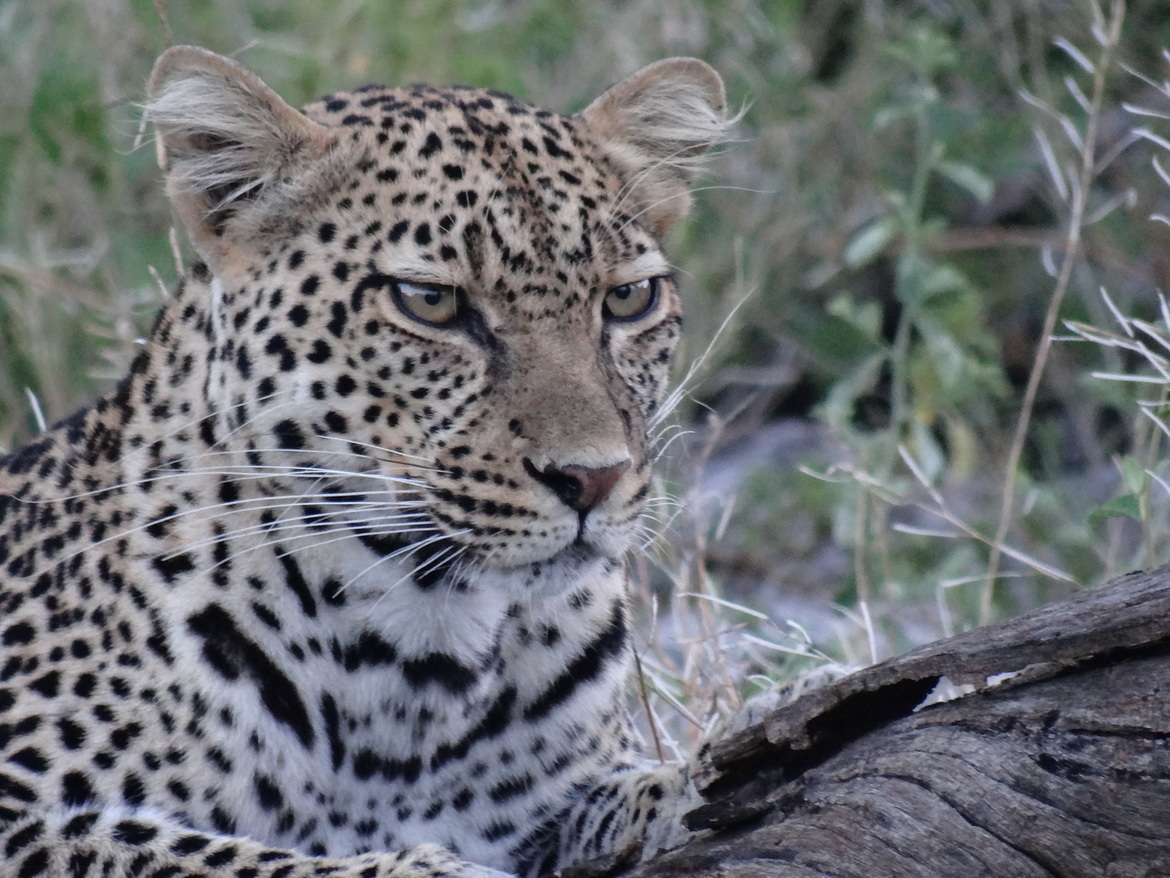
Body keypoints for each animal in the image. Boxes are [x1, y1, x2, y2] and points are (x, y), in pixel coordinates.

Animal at [0, 46, 732, 878]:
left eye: (629, 299)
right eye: (429, 301)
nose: (594, 478)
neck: (418, 667)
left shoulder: (560, 799)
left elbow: (650, 788)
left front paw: (695, 781)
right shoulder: (24, 812)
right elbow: (223, 854)